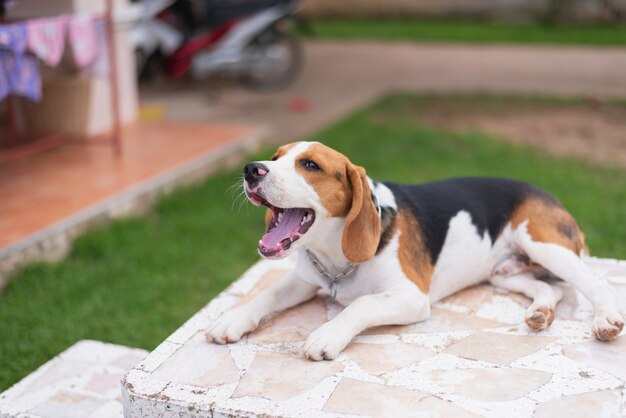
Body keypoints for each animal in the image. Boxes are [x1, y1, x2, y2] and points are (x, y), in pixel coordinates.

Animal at [204, 140, 620, 360]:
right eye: (276, 157)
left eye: (310, 165)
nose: (251, 169)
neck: (337, 256)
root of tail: (551, 195)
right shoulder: (304, 280)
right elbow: (267, 294)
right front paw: (232, 319)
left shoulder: (411, 297)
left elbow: (361, 303)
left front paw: (328, 334)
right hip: (503, 274)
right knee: (549, 289)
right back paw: (539, 313)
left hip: (544, 243)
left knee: (597, 284)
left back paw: (605, 319)